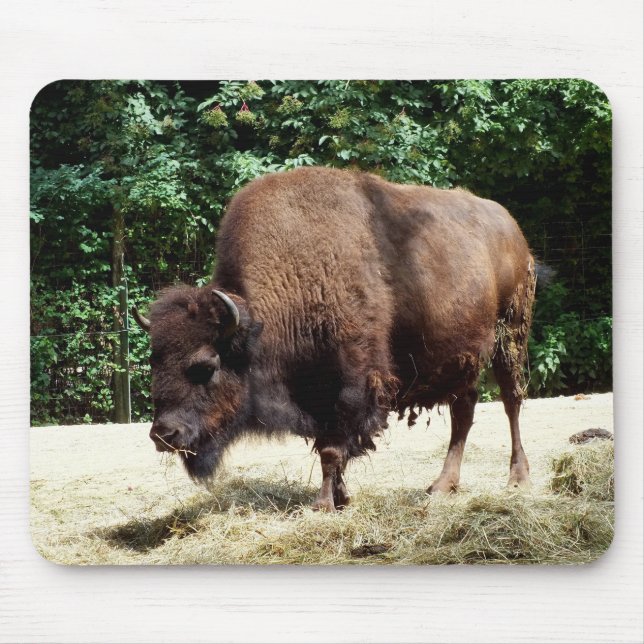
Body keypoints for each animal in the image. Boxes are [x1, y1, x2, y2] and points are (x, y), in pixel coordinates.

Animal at [133, 167, 541, 511]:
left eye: (205, 365)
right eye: (154, 361)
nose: (163, 434)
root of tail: (513, 228)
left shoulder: (351, 384)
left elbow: (332, 447)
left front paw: (323, 505)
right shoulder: (316, 395)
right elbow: (328, 447)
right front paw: (341, 498)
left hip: (510, 336)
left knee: (511, 400)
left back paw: (517, 478)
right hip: (461, 358)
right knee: (464, 410)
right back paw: (442, 486)